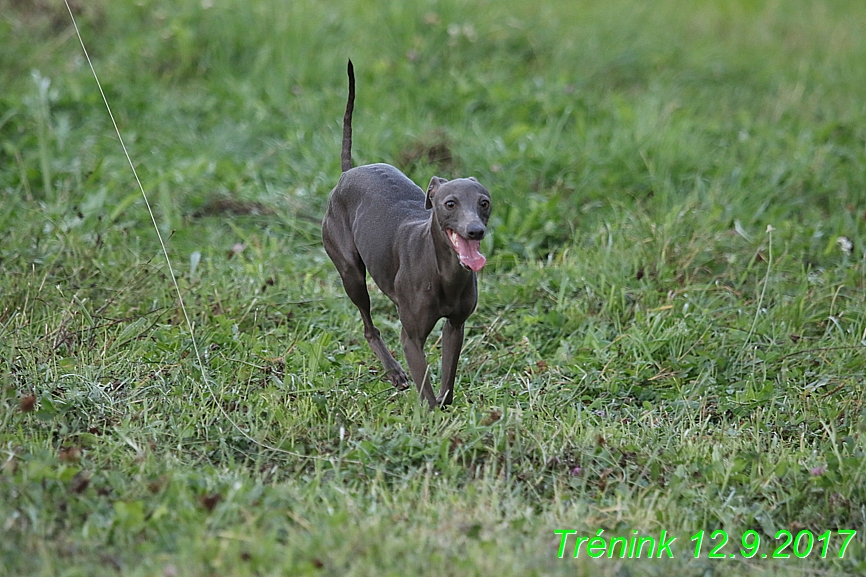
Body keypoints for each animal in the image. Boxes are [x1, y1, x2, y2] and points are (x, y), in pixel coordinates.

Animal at [320, 60, 490, 408]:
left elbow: (447, 385)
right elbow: (426, 392)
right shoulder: (411, 337)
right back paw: (395, 373)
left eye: (484, 202)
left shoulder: (456, 326)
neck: (444, 272)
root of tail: (348, 172)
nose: (475, 231)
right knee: (368, 325)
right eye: (449, 203)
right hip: (350, 273)